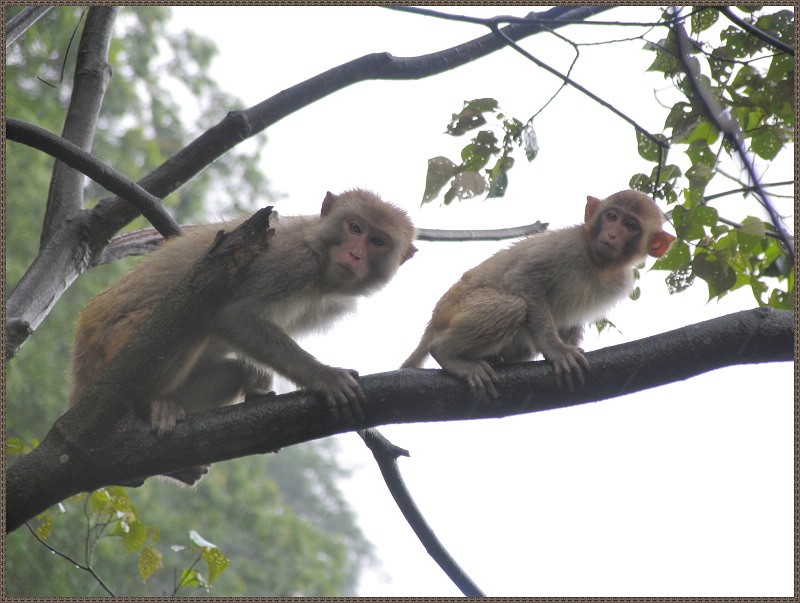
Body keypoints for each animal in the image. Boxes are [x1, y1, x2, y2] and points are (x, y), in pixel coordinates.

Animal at [71, 189, 416, 482]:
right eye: (355, 227)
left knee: (230, 368)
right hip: (116, 346)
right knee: (196, 313)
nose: (356, 254)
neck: (321, 267)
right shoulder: (289, 259)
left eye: (378, 241)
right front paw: (324, 376)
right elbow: (234, 316)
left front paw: (258, 380)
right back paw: (149, 405)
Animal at [400, 190, 676, 402]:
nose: (612, 234)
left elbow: (571, 323)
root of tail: (435, 318)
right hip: (453, 308)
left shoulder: (620, 282)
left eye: (630, 226)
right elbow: (523, 281)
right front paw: (557, 349)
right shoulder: (566, 245)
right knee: (513, 305)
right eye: (612, 216)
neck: (597, 263)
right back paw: (447, 354)